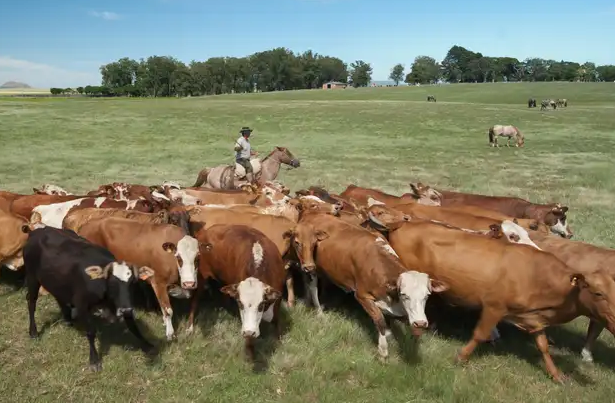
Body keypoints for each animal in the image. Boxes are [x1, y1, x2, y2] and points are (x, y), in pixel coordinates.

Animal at [24, 227, 158, 372]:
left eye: (133, 282)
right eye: (112, 283)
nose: (125, 310)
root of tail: (38, 230)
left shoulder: (124, 304)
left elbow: (133, 326)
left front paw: (147, 345)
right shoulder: (82, 304)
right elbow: (91, 332)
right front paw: (94, 360)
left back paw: (68, 320)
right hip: (32, 277)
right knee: (31, 301)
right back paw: (33, 332)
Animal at [186, 226, 286, 362]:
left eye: (261, 305)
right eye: (240, 303)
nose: (249, 332)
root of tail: (205, 231)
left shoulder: (277, 300)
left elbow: (277, 323)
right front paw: (250, 354)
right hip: (200, 277)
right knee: (194, 301)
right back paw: (190, 327)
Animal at [286, 211, 450, 360]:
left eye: (427, 295)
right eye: (404, 295)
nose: (420, 323)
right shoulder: (362, 296)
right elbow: (380, 320)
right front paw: (383, 350)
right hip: (311, 265)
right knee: (312, 287)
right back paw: (319, 310)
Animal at [382, 219, 615, 384]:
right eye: (597, 293)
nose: (613, 323)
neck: (536, 274)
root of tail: (404, 223)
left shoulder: (534, 318)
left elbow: (543, 346)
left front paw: (556, 375)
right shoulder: (494, 307)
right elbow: (479, 334)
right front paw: (460, 358)